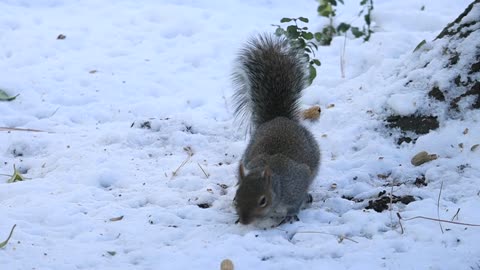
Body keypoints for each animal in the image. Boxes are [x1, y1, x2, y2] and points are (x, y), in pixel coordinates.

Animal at [232, 34, 320, 226]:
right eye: (236, 198)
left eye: (262, 201)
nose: (244, 221)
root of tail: (279, 118)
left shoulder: (297, 181)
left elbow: (296, 202)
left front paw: (290, 215)